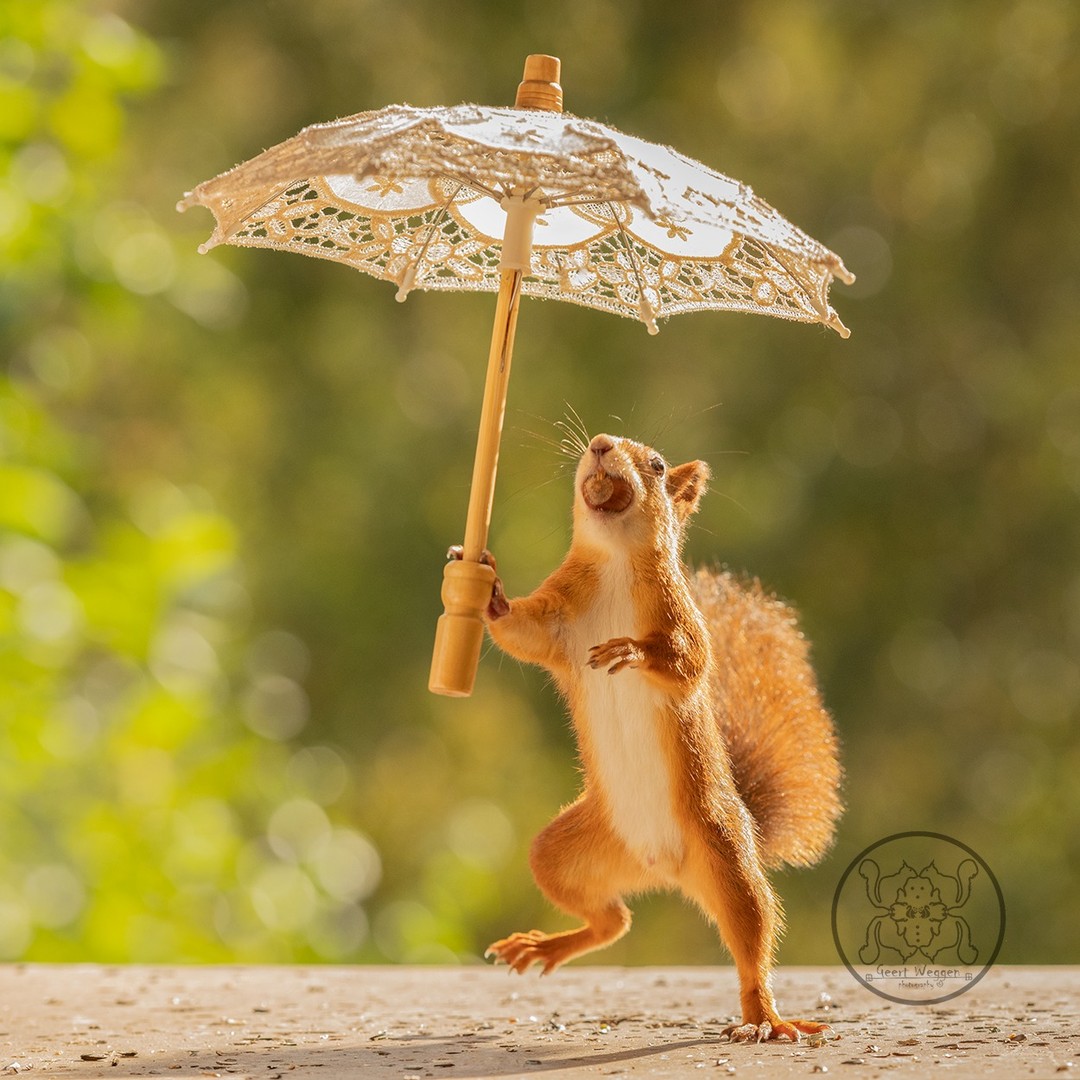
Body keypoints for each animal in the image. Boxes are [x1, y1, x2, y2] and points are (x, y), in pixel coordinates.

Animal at [469, 432, 842, 1042]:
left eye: (659, 465)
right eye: (595, 441)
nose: (599, 444)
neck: (617, 562)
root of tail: (660, 869)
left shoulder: (681, 616)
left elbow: (690, 662)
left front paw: (632, 652)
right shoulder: (556, 620)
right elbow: (518, 631)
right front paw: (489, 590)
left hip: (725, 854)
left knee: (751, 940)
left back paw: (764, 1018)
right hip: (567, 852)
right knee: (613, 920)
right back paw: (548, 946)